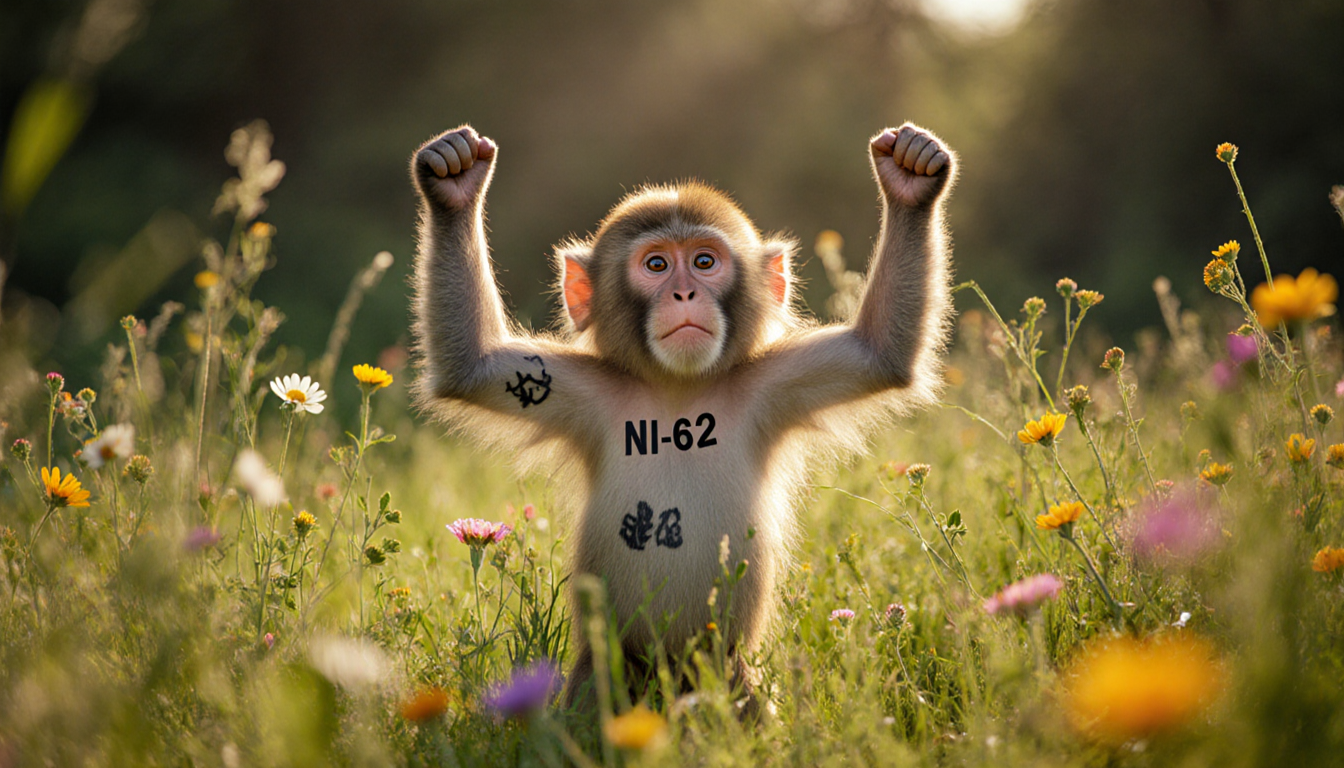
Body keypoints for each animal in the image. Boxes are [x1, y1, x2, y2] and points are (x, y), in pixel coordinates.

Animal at [410, 123, 955, 710]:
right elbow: (472, 363)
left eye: (704, 261)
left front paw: (911, 181)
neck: (678, 389)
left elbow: (879, 353)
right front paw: (454, 184)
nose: (684, 292)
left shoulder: (771, 383)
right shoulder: (585, 392)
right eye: (656, 264)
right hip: (604, 684)